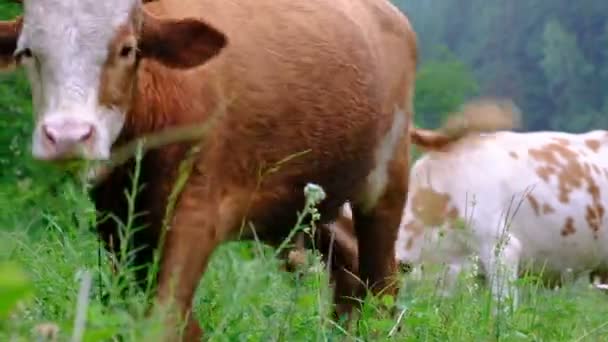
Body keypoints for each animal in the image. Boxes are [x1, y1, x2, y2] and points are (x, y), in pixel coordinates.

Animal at [0, 0, 418, 340]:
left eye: (127, 49)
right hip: (308, 198)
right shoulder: (115, 219)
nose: (67, 136)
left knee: (382, 283)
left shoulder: (197, 212)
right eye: (27, 52)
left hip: (388, 179)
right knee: (348, 260)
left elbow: (165, 318)